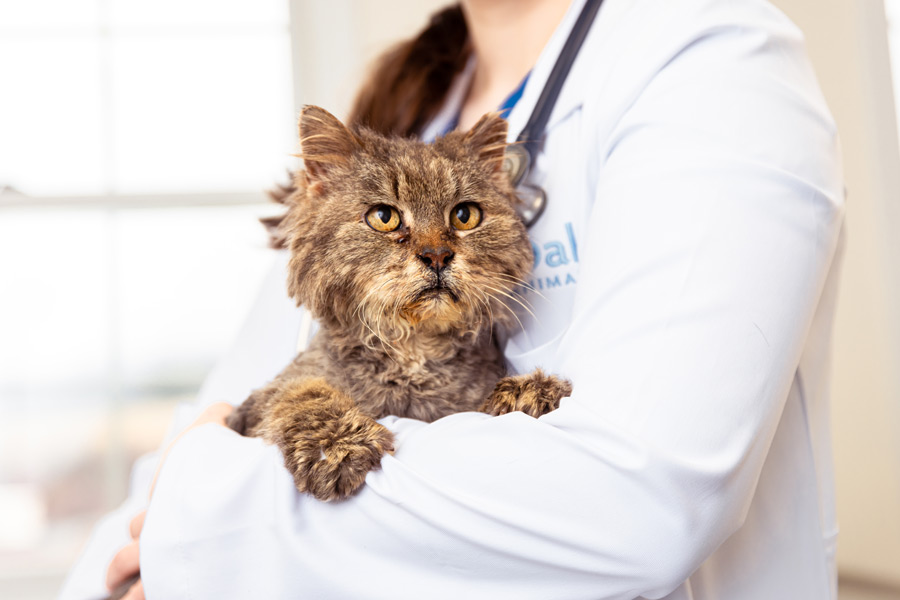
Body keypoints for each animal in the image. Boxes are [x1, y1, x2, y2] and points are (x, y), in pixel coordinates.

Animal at [229, 106, 572, 502]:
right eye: (384, 217)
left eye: (464, 215)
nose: (437, 255)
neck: (414, 354)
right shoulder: (254, 405)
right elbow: (302, 392)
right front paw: (339, 445)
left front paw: (525, 391)